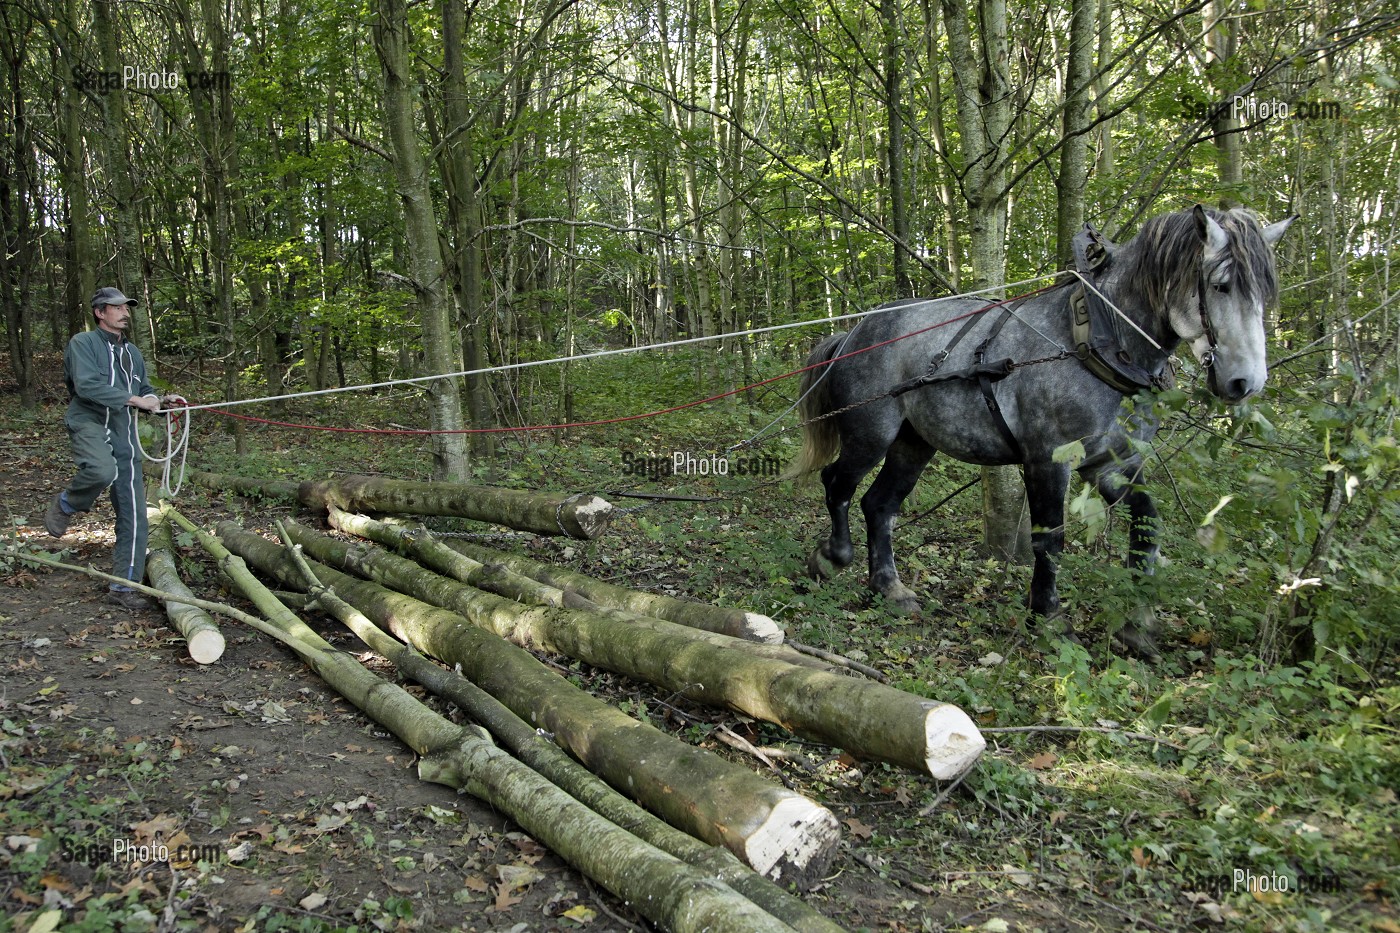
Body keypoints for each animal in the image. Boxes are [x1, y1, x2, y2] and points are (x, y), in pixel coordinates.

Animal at [784, 205, 1295, 657]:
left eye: (1265, 295)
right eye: (1221, 285)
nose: (1245, 383)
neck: (1096, 342)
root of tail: (854, 333)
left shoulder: (1113, 464)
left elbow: (1147, 526)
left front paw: (1138, 623)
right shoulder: (1048, 460)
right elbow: (1050, 538)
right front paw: (1049, 617)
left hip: (914, 445)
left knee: (880, 505)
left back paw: (889, 588)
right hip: (871, 435)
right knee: (838, 484)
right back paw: (832, 557)